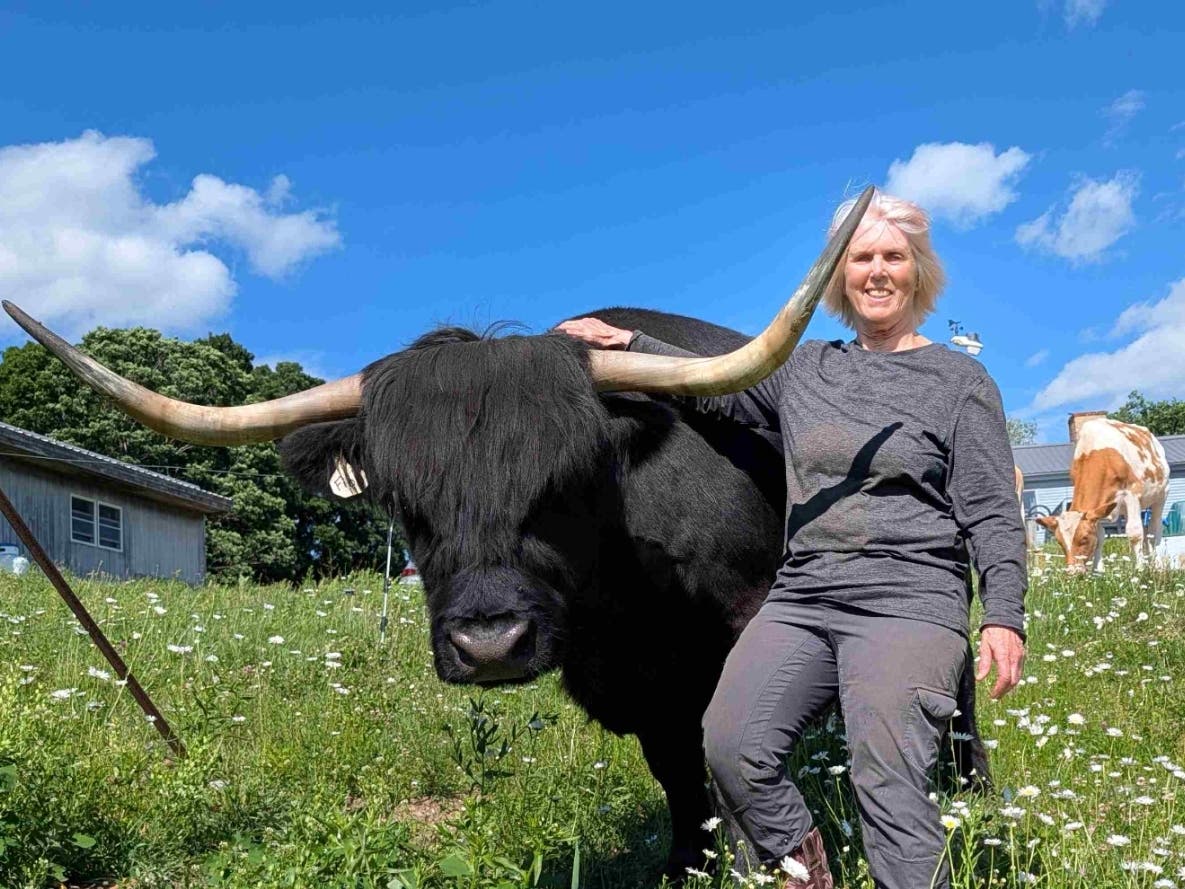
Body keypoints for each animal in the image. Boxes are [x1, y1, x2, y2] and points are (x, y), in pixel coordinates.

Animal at [0, 187, 989, 878]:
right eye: (404, 502)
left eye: (564, 485)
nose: (489, 643)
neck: (622, 609)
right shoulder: (640, 692)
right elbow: (679, 775)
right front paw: (684, 865)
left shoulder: (735, 644)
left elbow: (733, 772)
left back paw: (972, 798)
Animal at [1035, 417, 1169, 573]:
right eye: (1060, 542)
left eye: (1084, 538)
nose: (1073, 573)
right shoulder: (1097, 509)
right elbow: (1099, 536)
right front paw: (1098, 571)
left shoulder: (1132, 495)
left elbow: (1134, 533)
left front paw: (1140, 569)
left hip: (1161, 496)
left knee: (1154, 530)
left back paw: (1158, 566)